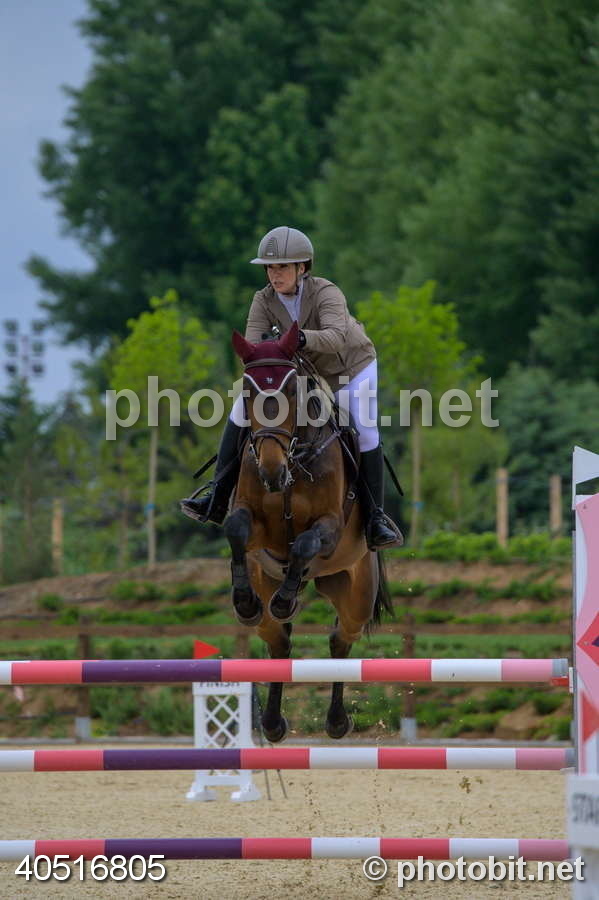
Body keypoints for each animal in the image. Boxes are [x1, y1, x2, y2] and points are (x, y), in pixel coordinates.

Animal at [223, 321, 393, 741]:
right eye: (247, 391)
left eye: (290, 390)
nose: (271, 471)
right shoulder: (254, 526)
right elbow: (236, 529)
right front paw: (245, 601)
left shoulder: (329, 529)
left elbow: (304, 544)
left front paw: (285, 600)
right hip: (269, 579)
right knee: (279, 642)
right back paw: (272, 723)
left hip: (356, 593)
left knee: (340, 641)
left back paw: (337, 721)